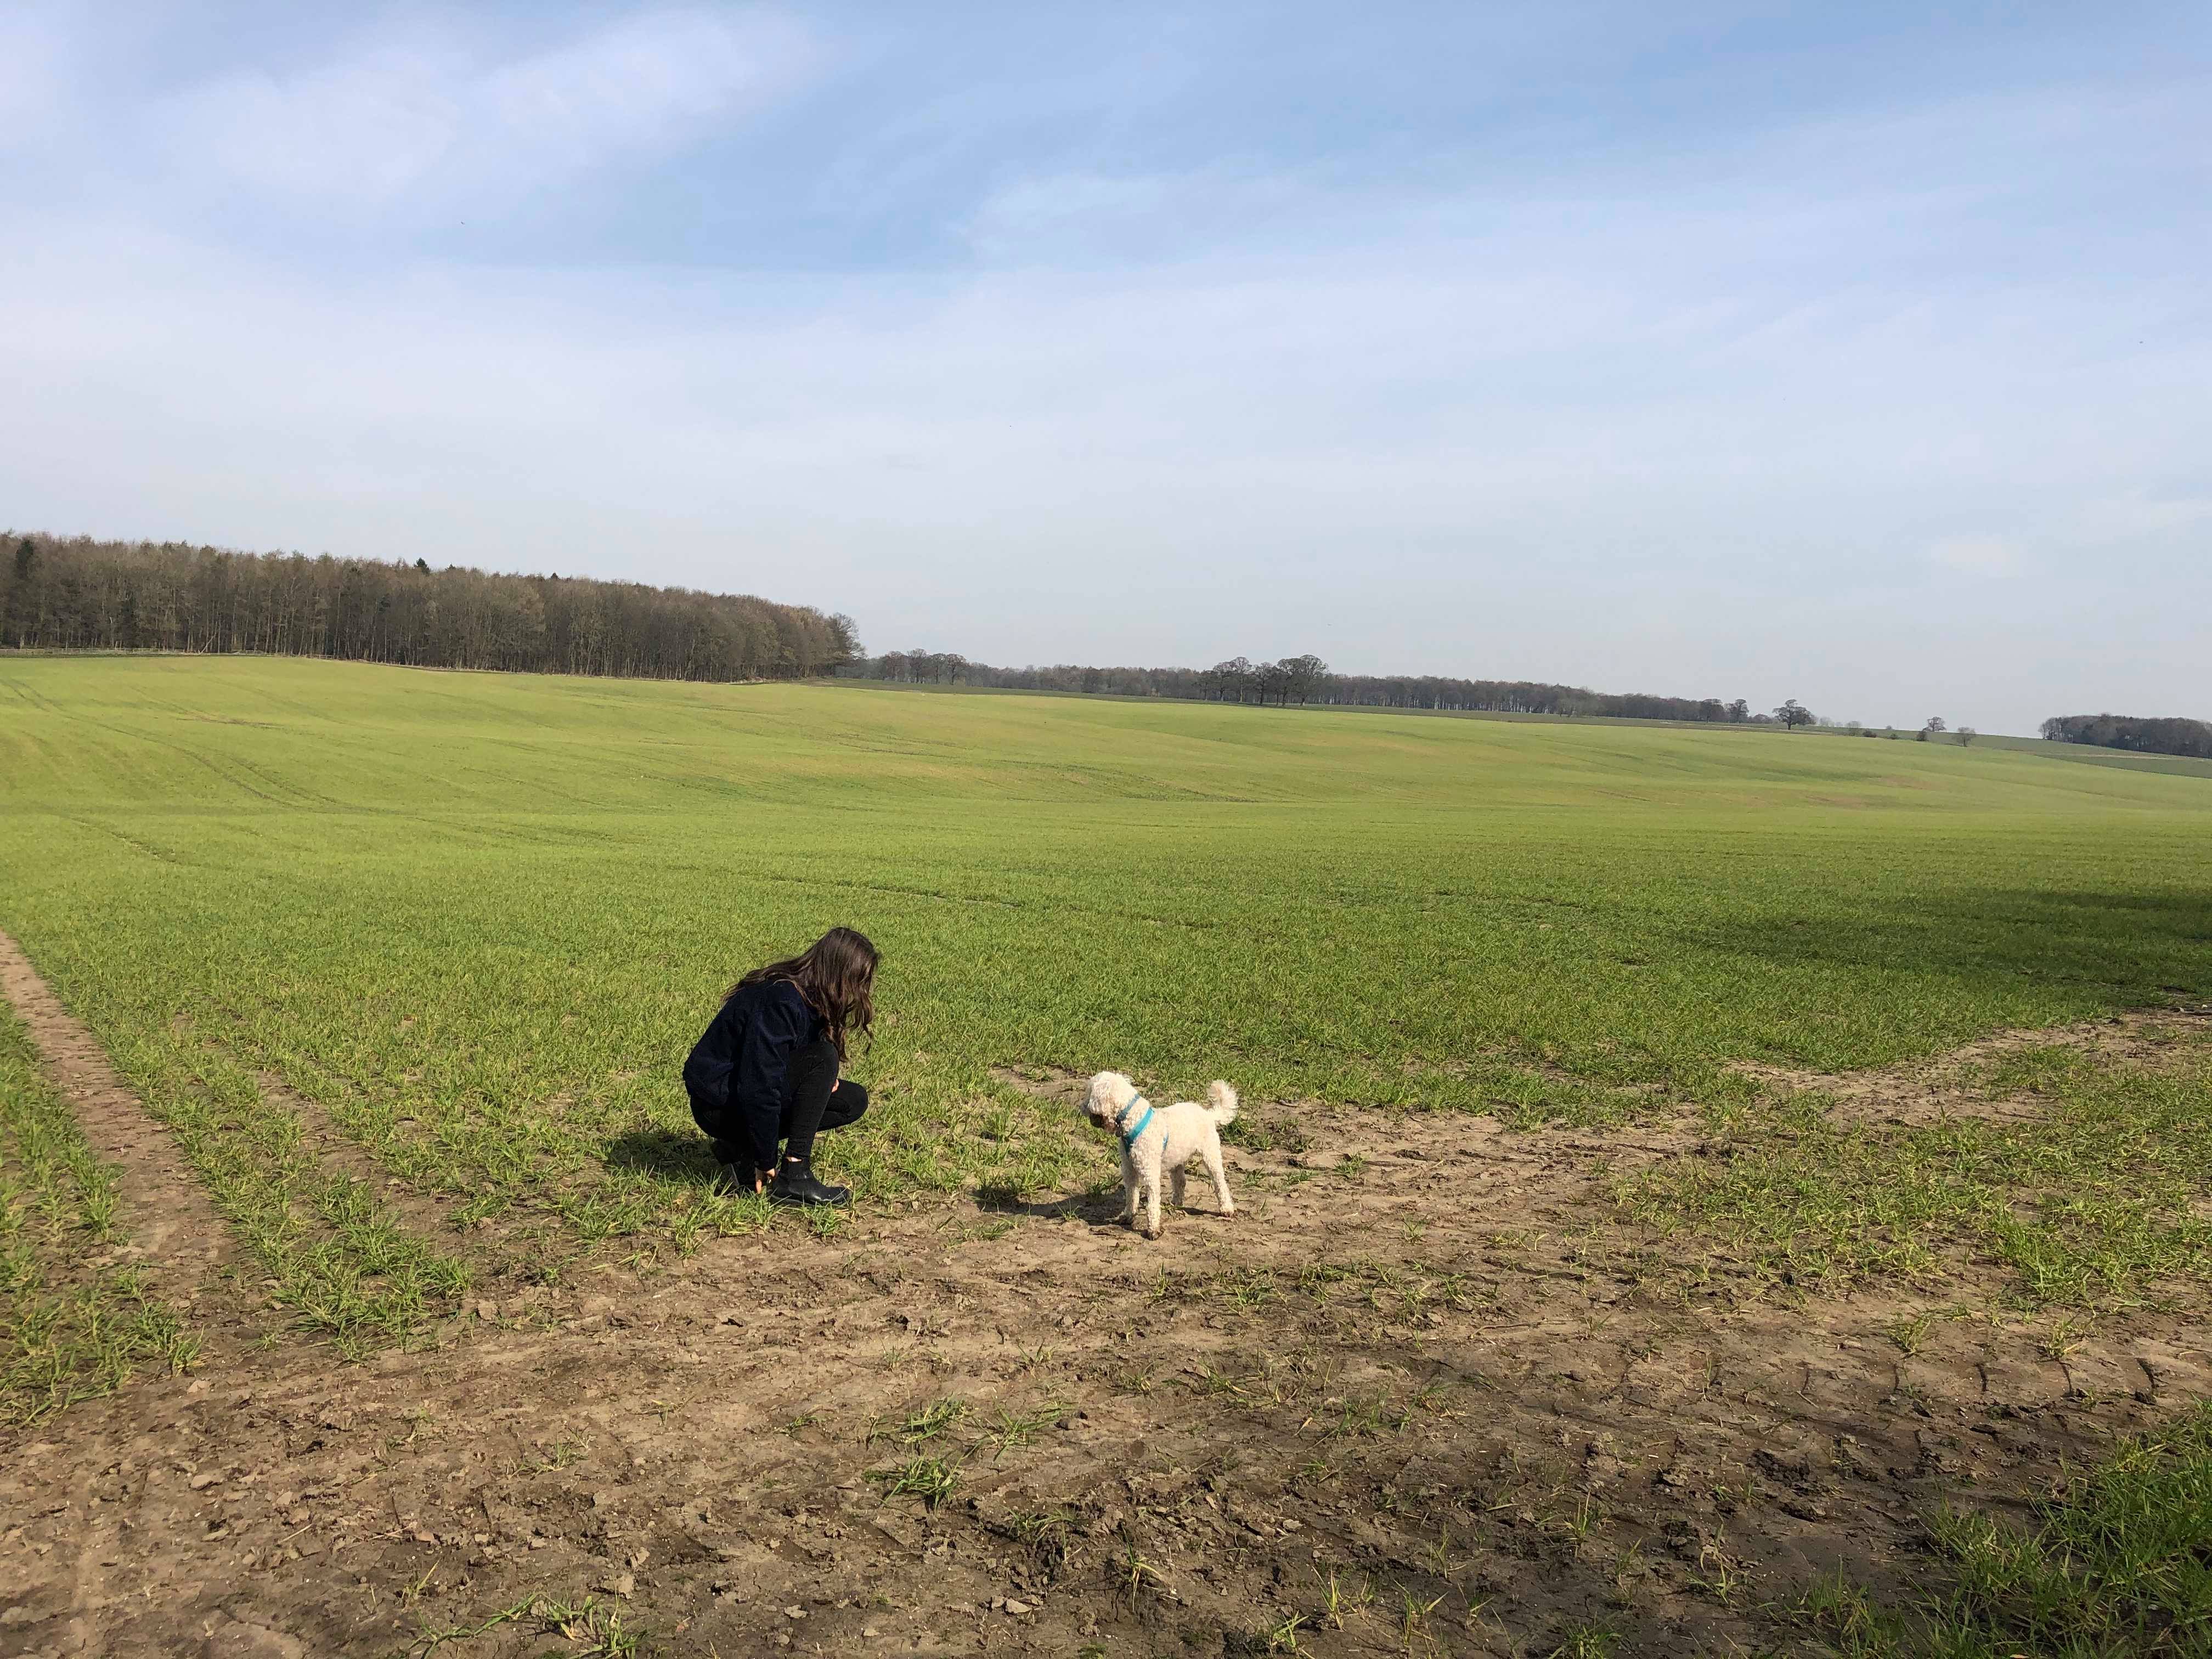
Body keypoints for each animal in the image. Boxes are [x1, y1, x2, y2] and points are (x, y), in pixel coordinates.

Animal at [1079, 1070, 1238, 1238]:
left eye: (1089, 1091)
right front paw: (1128, 1216)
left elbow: (1153, 1203)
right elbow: (1132, 1196)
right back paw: (1176, 1204)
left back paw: (1227, 1209)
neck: (1134, 1120)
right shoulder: (1129, 1169)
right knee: (1181, 1181)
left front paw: (1153, 1229)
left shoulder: (1150, 1172)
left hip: (1211, 1154)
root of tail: (1209, 1115)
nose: (1081, 1107)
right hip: (1178, 1158)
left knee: (1220, 1183)